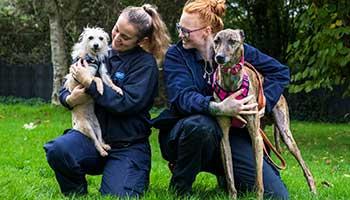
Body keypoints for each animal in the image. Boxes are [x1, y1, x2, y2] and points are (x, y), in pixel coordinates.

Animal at [63, 27, 122, 156]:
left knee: (99, 139)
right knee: (94, 142)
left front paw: (118, 89)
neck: (93, 58)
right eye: (90, 38)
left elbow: (108, 82)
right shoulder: (85, 76)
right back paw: (102, 151)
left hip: (97, 126)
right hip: (87, 128)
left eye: (101, 38)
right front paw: (100, 88)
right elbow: (97, 79)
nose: (96, 45)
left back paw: (105, 146)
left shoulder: (102, 73)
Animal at [212, 28, 316, 199]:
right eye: (216, 41)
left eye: (233, 41)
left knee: (304, 166)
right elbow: (230, 176)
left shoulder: (256, 136)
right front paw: (232, 195)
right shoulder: (224, 138)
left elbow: (259, 180)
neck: (231, 83)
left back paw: (313, 190)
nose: (219, 57)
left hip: (285, 134)